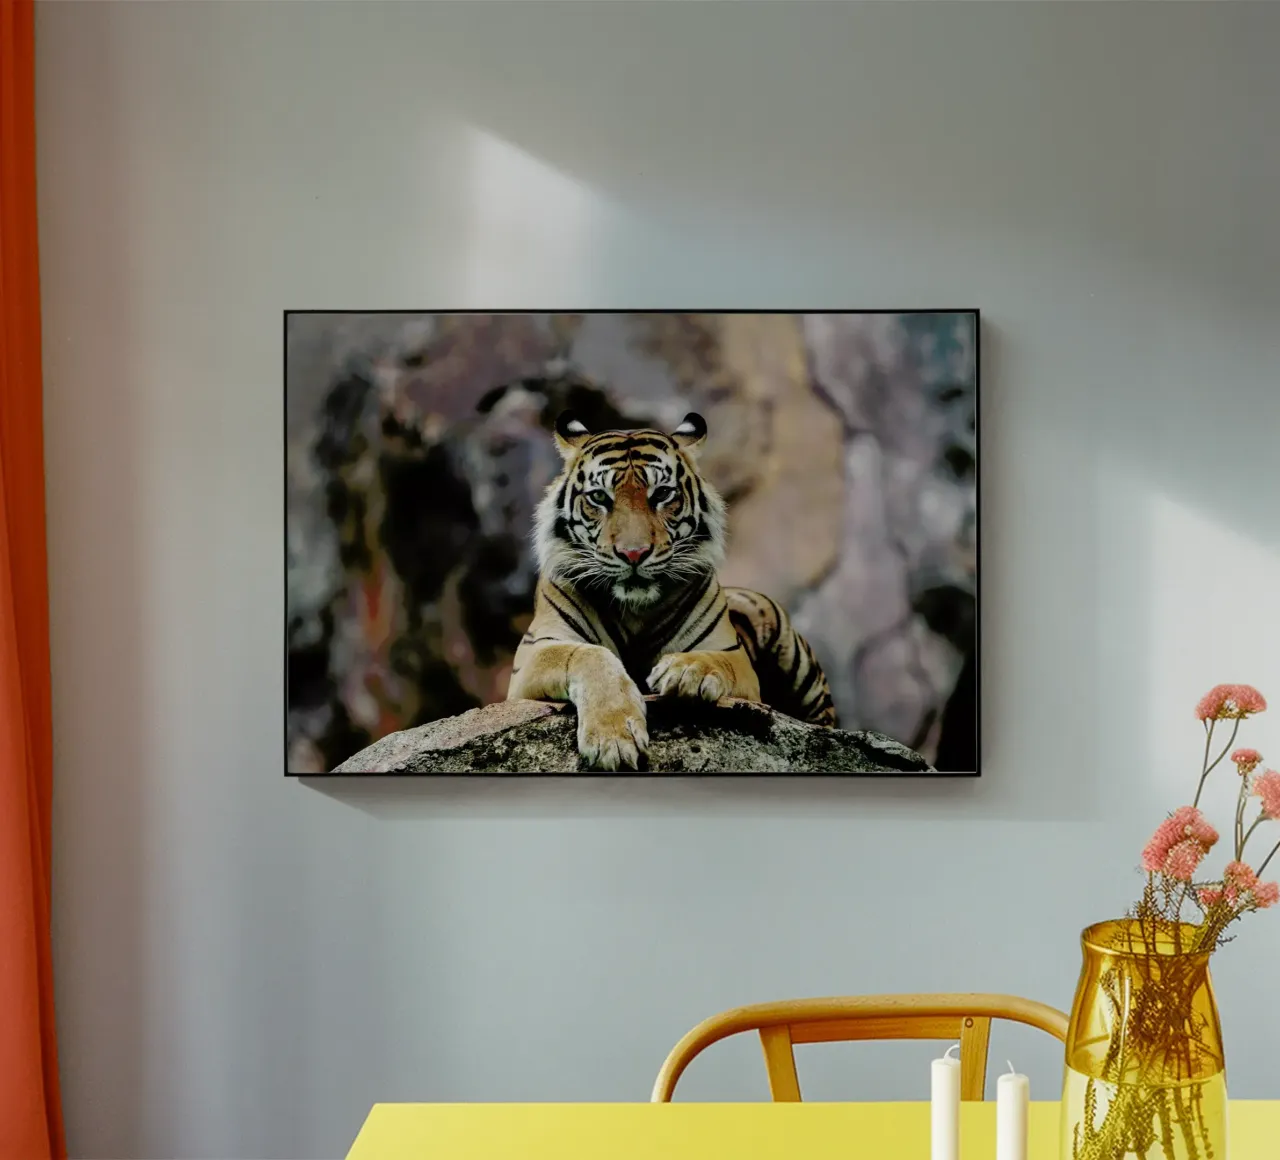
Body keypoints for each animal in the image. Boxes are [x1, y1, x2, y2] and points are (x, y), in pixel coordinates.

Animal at [506, 409, 837, 771]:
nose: (634, 553)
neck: (634, 609)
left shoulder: (732, 655)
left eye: (662, 494)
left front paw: (685, 671)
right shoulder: (535, 653)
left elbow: (713, 660)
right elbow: (587, 655)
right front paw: (613, 738)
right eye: (599, 497)